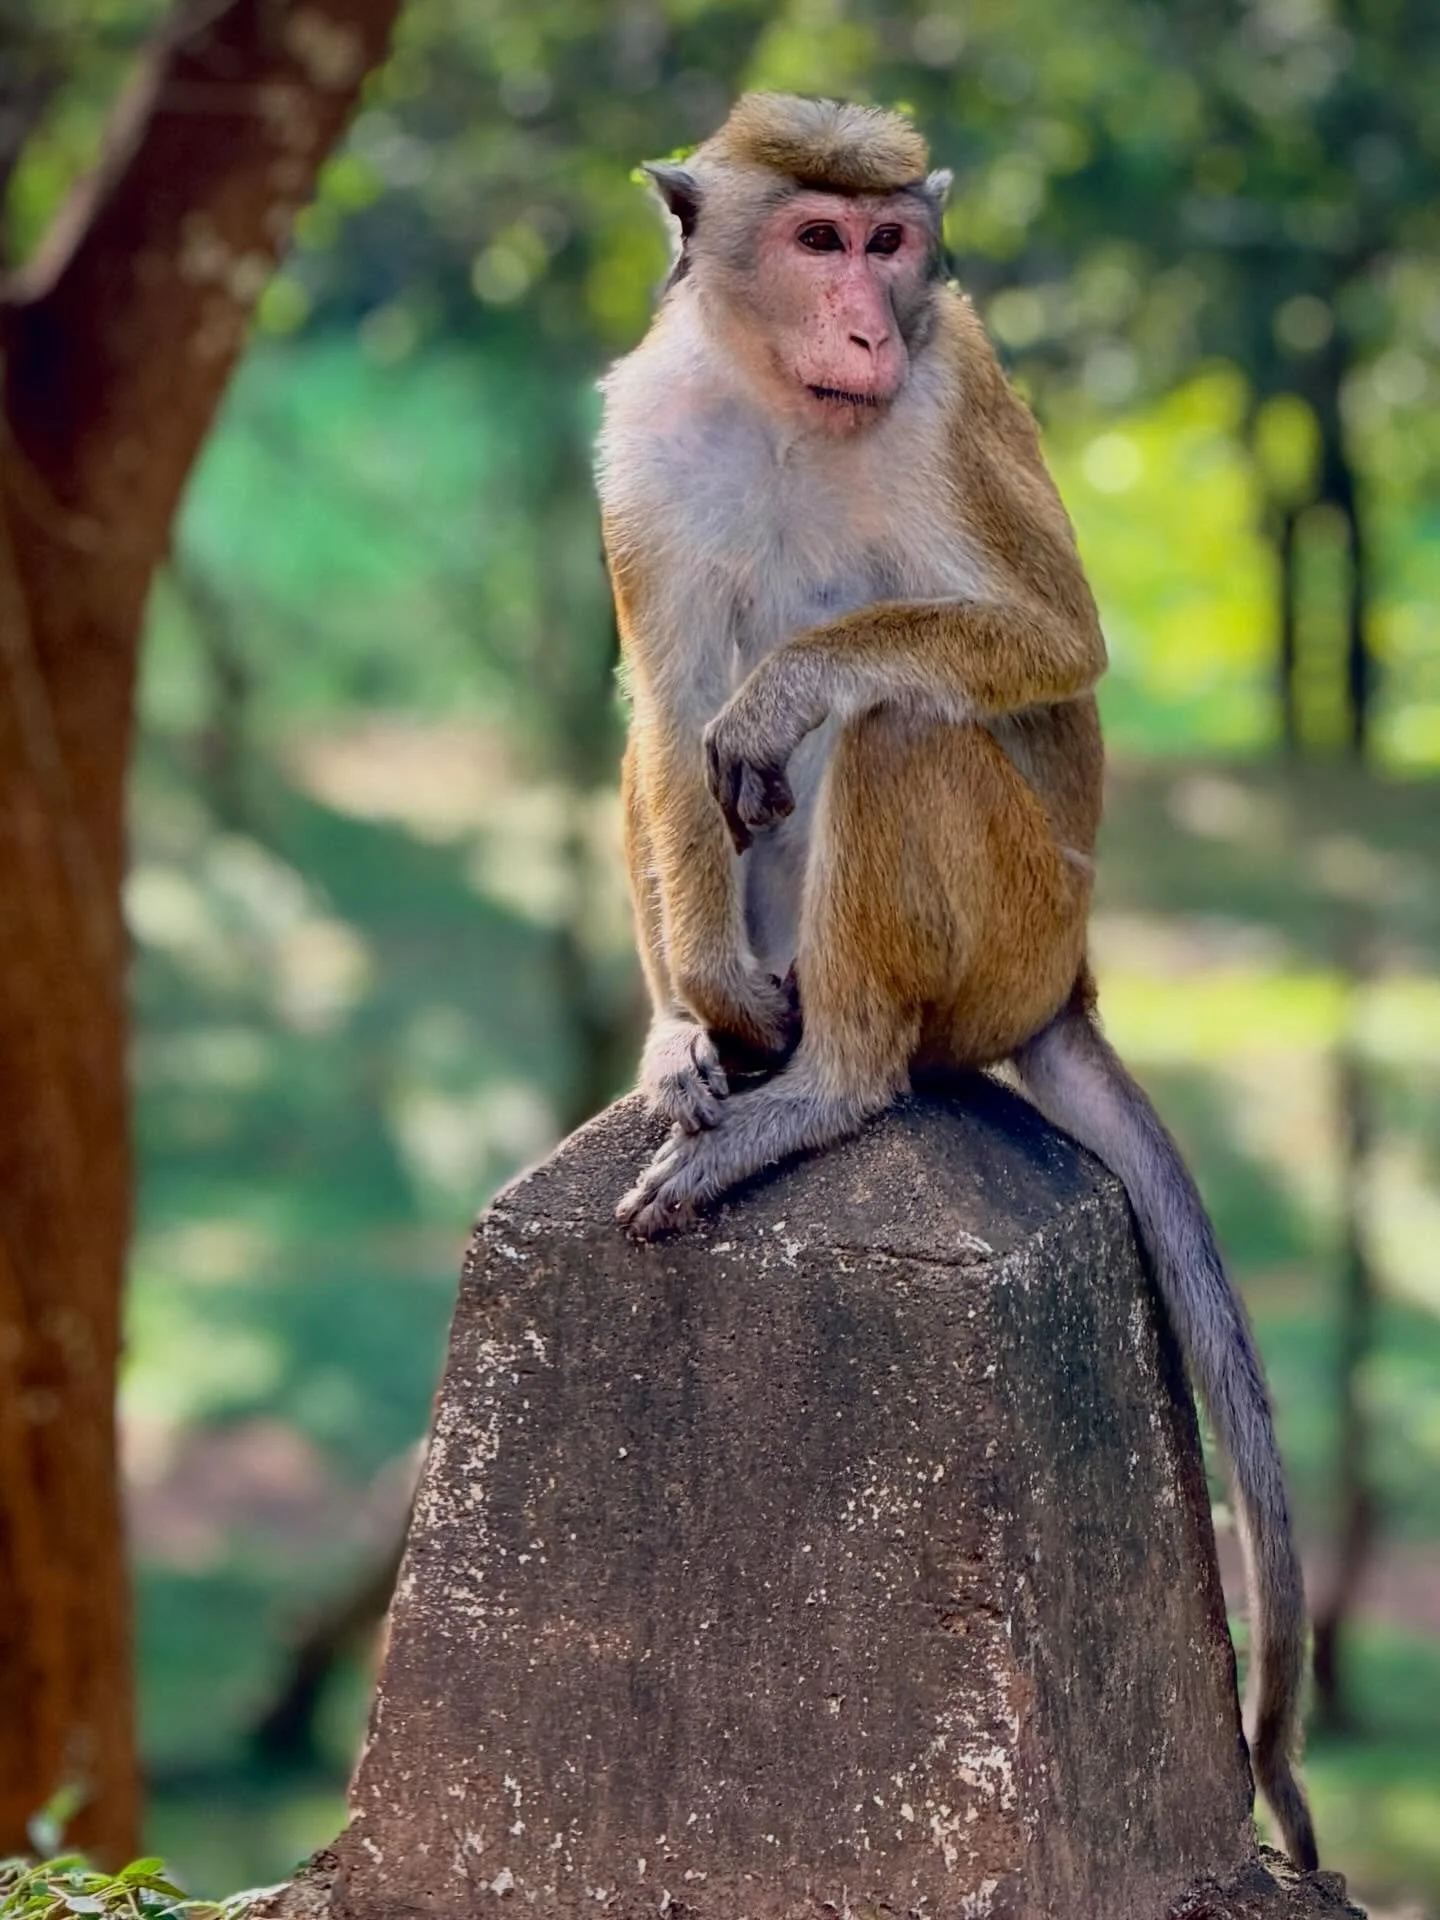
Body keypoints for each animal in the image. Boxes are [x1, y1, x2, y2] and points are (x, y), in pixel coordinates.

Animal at [594, 92, 1317, 1874]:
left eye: (888, 244)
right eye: (816, 240)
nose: (870, 320)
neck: (787, 400)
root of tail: (1074, 986)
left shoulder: (952, 392)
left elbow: (1046, 641)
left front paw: (786, 695)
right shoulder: (644, 432)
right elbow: (665, 703)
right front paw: (689, 1011)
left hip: (1009, 934)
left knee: (901, 724)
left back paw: (832, 1082)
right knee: (682, 749)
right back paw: (704, 1035)